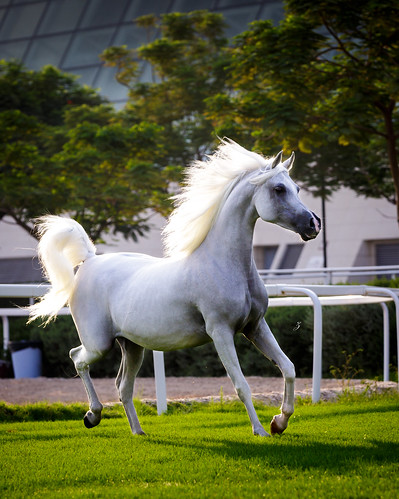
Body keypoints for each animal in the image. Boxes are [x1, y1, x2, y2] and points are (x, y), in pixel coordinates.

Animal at [28, 140, 322, 438]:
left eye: (297, 188)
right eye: (278, 189)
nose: (314, 224)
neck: (223, 265)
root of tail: (89, 260)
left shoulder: (255, 326)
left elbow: (288, 368)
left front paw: (279, 422)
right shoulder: (221, 332)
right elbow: (241, 386)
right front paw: (260, 431)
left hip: (132, 346)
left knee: (123, 386)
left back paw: (138, 432)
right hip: (99, 343)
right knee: (77, 358)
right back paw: (92, 415)